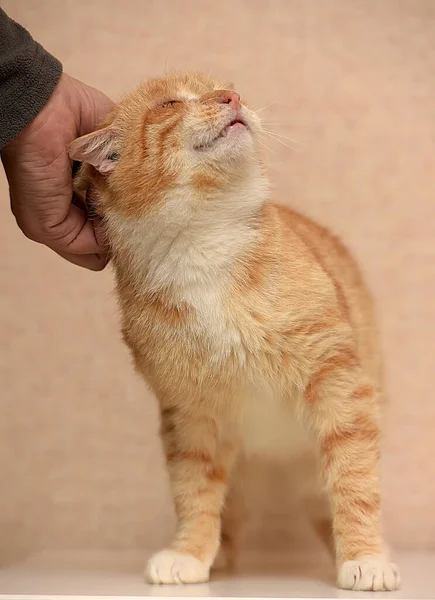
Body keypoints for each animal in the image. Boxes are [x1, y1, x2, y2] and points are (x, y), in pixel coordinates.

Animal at [70, 71, 402, 592]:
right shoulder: (189, 413)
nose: (233, 97)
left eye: (221, 86)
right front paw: (188, 554)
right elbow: (194, 492)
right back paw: (218, 555)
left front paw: (364, 558)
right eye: (169, 104)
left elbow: (355, 480)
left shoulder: (337, 378)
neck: (203, 241)